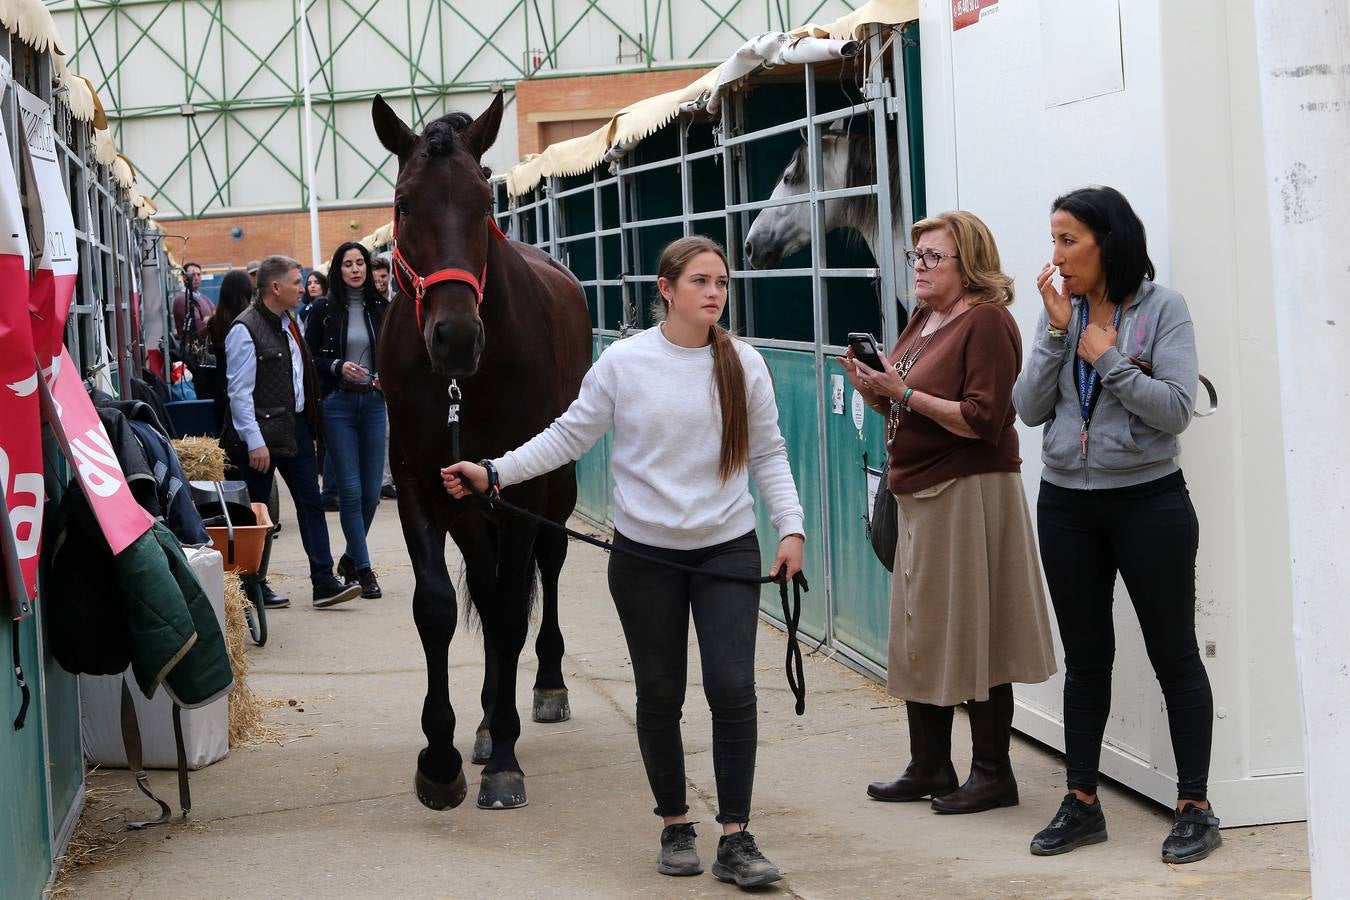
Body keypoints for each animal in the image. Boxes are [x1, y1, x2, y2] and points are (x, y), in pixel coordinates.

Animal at [375, 95, 596, 814]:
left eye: (483, 201)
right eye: (404, 203)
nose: (455, 337)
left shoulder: (523, 490)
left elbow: (504, 612)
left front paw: (504, 759)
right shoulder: (421, 482)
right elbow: (438, 607)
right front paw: (441, 760)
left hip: (557, 487)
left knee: (540, 573)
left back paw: (543, 688)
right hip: (473, 508)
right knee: (487, 578)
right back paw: (479, 723)